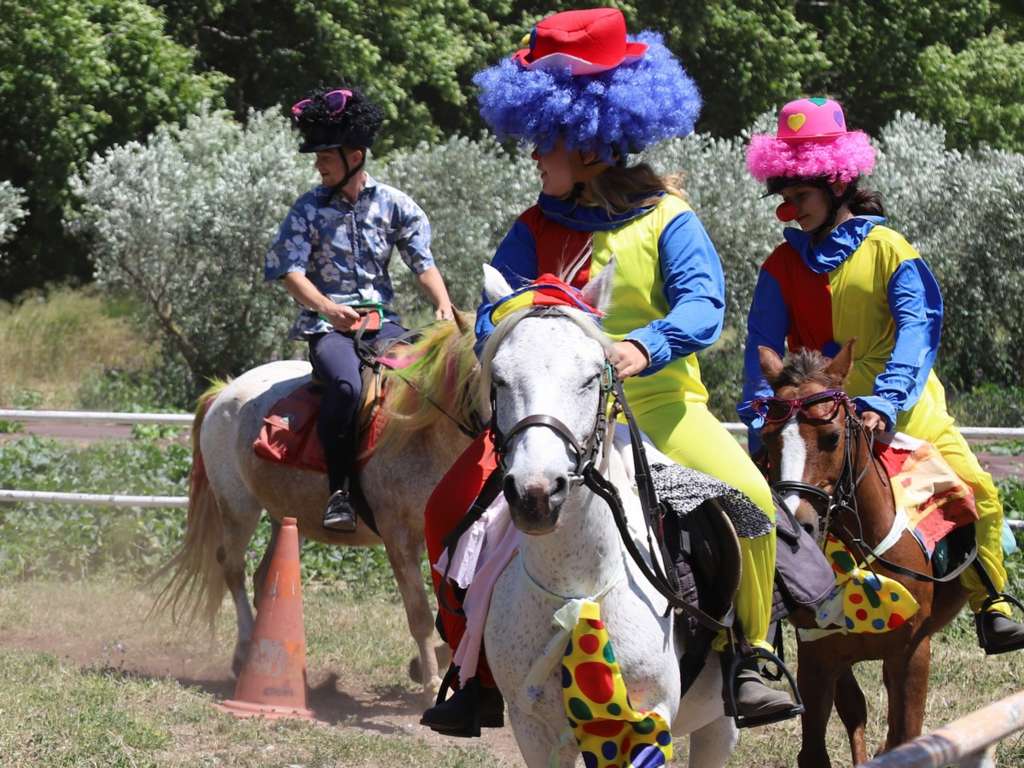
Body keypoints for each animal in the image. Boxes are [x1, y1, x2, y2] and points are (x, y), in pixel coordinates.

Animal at [479, 266, 737, 768]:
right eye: (499, 378)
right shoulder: (532, 729)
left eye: (591, 378)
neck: (575, 588)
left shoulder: (647, 724)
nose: (536, 493)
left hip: (720, 724)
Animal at [761, 344, 966, 768]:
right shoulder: (818, 655)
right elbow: (817, 748)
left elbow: (906, 735)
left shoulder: (913, 651)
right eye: (768, 437)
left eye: (831, 437)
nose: (798, 525)